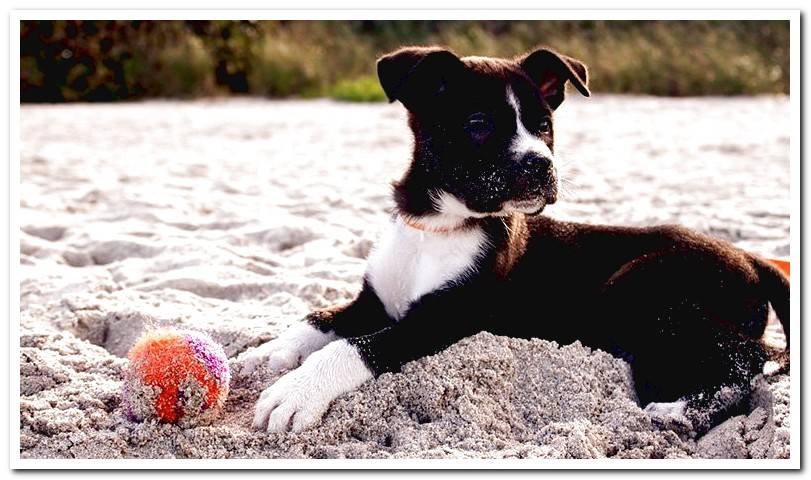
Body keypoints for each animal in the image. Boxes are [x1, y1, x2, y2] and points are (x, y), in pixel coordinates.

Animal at [249, 46, 792, 436]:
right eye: (478, 125)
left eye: (544, 126)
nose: (541, 165)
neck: (438, 226)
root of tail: (750, 257)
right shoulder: (375, 302)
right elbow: (319, 318)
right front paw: (268, 351)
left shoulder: (446, 318)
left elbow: (357, 346)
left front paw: (297, 391)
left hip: (637, 292)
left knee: (752, 360)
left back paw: (678, 413)